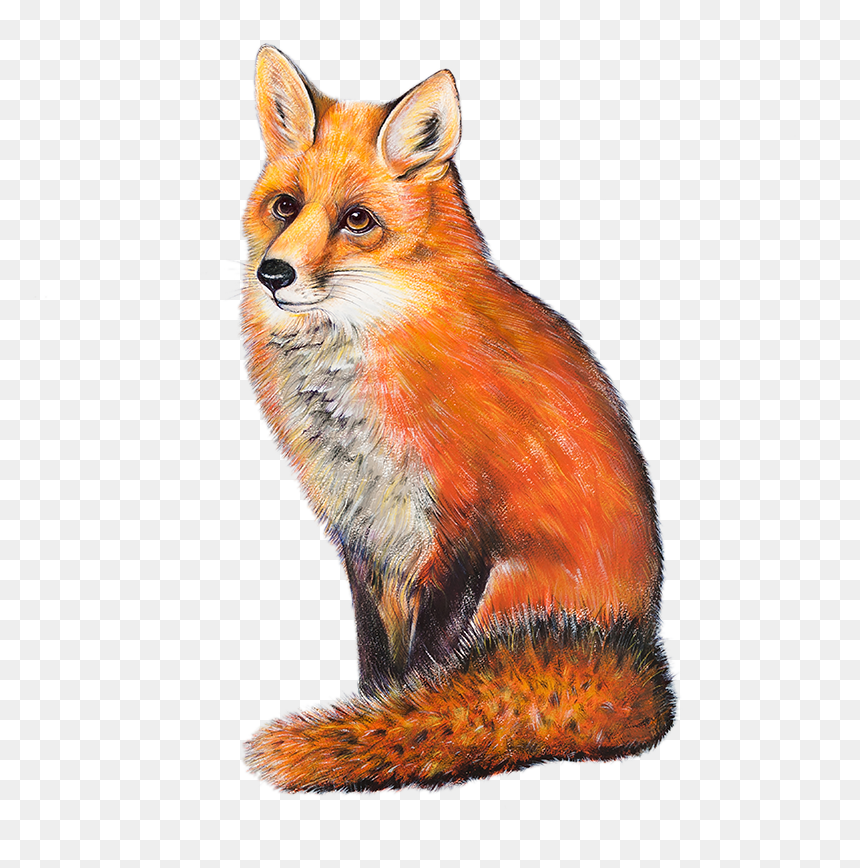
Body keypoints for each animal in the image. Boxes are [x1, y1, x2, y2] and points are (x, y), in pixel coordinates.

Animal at [241, 45, 675, 792]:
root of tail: (635, 659)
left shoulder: (461, 525)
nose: (274, 273)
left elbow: (426, 667)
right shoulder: (361, 530)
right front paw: (371, 714)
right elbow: (378, 658)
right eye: (285, 206)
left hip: (512, 586)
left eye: (357, 220)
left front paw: (394, 727)